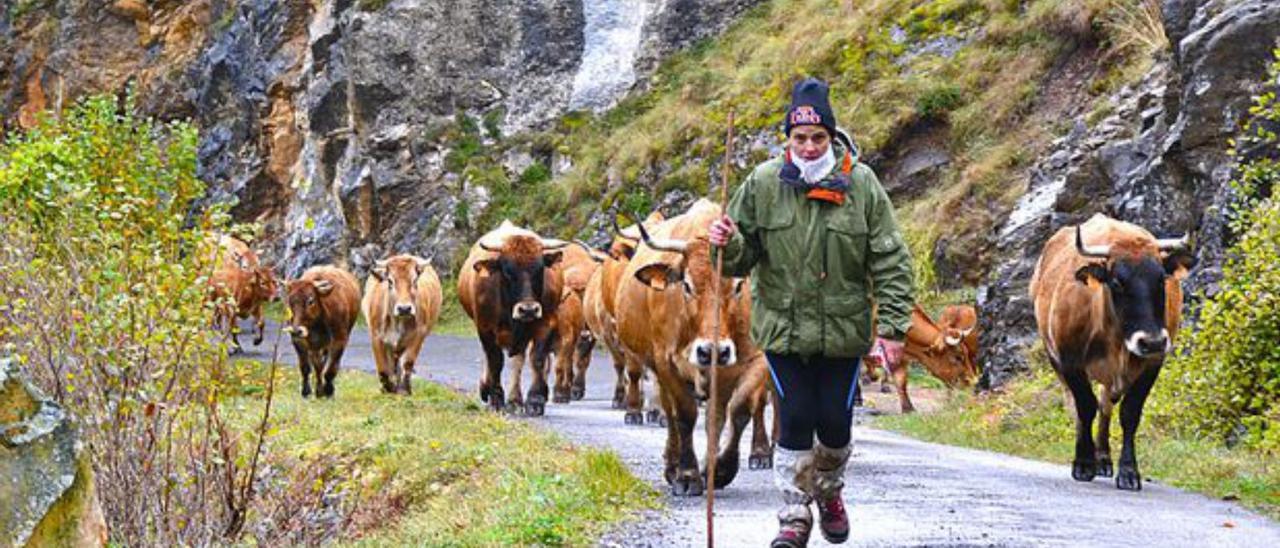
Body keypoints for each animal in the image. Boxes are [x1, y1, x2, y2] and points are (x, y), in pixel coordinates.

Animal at [282, 265, 358, 396]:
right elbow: (307, 367)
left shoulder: (340, 340)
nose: (297, 330)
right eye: (290, 301)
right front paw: (307, 391)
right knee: (319, 365)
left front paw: (328, 390)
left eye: (310, 300)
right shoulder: (300, 341)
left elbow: (331, 369)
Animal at [360, 254, 445, 396]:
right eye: (390, 281)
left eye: (415, 281)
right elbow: (382, 368)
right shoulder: (376, 337)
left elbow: (407, 363)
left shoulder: (418, 336)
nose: (404, 308)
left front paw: (404, 390)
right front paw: (387, 389)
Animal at [455, 218, 565, 414]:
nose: (528, 309)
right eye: (507, 271)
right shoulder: (485, 327)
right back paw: (486, 388)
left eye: (540, 270)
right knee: (490, 357)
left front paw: (535, 400)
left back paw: (515, 399)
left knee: (518, 360)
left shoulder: (546, 322)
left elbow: (536, 358)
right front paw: (496, 398)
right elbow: (495, 361)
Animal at [616, 198, 773, 494]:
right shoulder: (666, 362)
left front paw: (721, 469)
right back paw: (672, 465)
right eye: (687, 285)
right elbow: (685, 414)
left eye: (739, 285)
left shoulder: (757, 359)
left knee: (716, 415)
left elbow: (739, 410)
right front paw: (687, 475)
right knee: (669, 412)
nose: (713, 351)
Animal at [1024, 212, 1192, 489]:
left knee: (1106, 405)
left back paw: (1103, 458)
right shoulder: (1069, 362)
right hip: (1055, 360)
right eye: (1117, 282)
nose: (1152, 341)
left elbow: (1129, 413)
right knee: (1082, 406)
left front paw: (1128, 471)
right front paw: (1083, 463)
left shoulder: (1153, 363)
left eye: (1161, 280)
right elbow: (1084, 406)